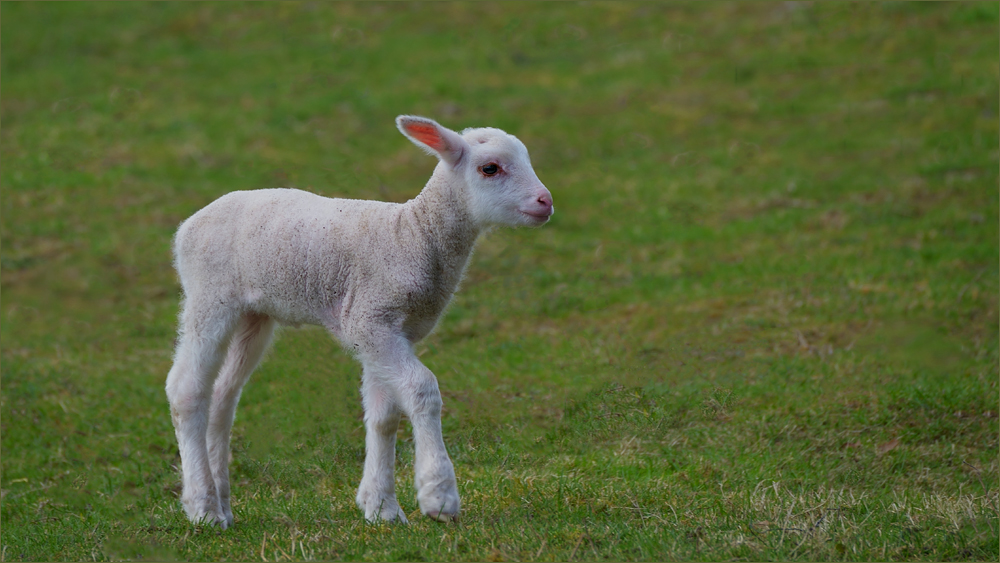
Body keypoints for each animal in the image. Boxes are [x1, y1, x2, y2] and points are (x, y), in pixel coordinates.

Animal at [164, 114, 556, 528]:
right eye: (490, 168)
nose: (545, 202)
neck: (414, 234)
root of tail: (188, 225)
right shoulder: (369, 319)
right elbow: (422, 389)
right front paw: (438, 494)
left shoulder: (391, 330)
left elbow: (384, 415)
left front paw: (382, 507)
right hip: (209, 296)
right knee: (186, 389)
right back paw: (203, 507)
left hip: (253, 315)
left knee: (223, 394)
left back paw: (222, 503)